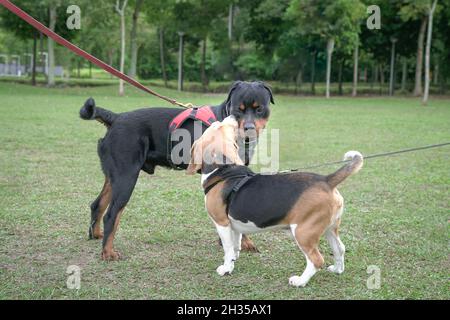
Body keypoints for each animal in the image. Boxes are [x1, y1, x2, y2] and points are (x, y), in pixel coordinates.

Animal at [79, 80, 272, 260]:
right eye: (238, 110)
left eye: (259, 109)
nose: (249, 128)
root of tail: (116, 118)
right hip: (126, 176)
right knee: (111, 214)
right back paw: (108, 252)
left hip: (114, 176)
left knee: (97, 204)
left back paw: (96, 234)